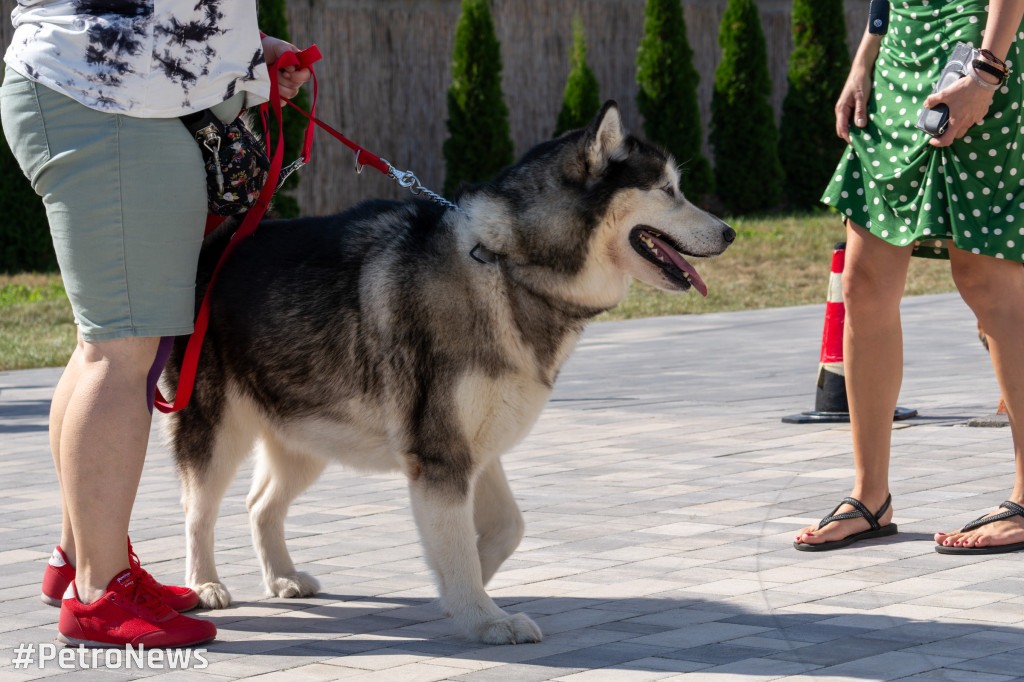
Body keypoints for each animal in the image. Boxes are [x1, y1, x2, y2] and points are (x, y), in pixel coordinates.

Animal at [163, 100, 733, 643]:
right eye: (667, 189)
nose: (729, 232)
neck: (506, 265)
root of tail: (213, 247)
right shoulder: (440, 452)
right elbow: (458, 542)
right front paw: (483, 618)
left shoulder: (479, 445)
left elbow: (507, 528)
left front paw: (460, 593)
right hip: (217, 432)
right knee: (196, 512)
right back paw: (205, 585)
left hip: (308, 436)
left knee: (260, 504)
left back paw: (282, 577)